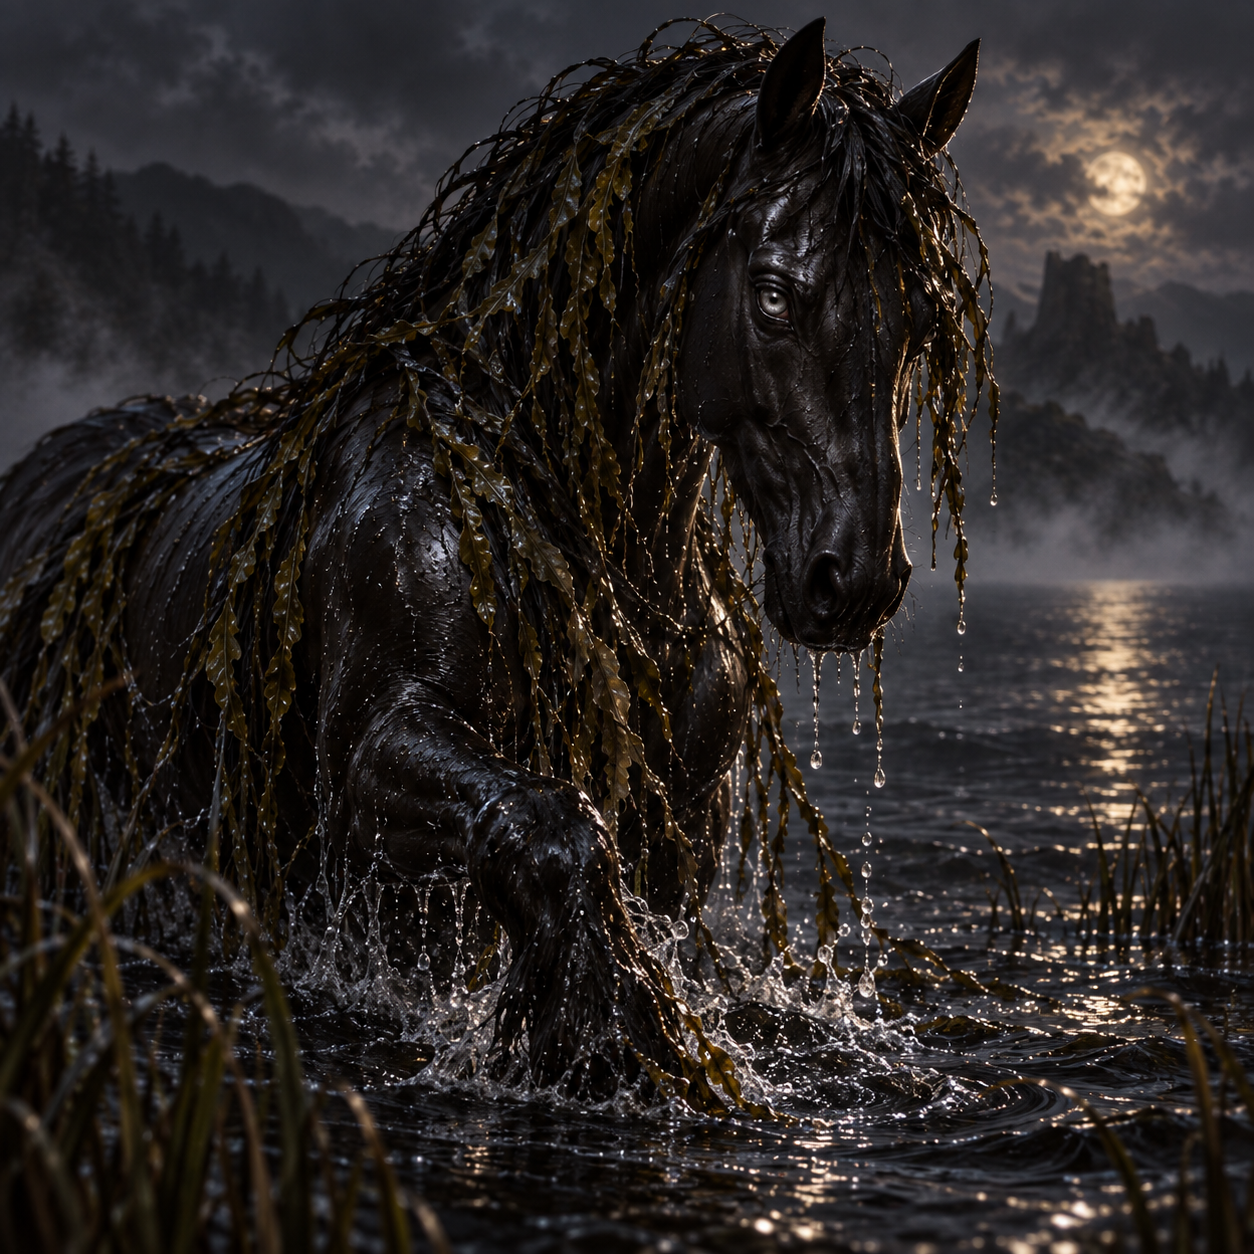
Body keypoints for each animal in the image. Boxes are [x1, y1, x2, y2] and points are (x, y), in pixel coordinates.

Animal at [0, 18, 993, 1106]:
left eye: (924, 313)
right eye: (772, 292)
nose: (853, 578)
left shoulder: (680, 829)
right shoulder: (371, 760)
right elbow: (552, 826)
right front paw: (615, 1039)